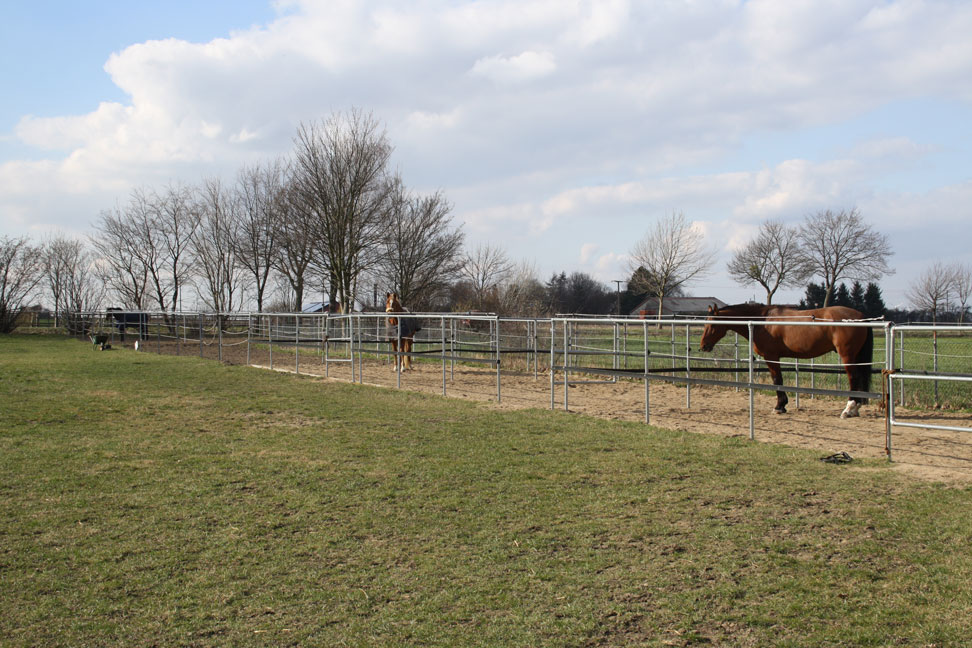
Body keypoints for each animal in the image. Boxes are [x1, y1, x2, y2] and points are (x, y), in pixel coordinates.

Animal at [700, 302, 872, 418]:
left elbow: (777, 380)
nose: (703, 346)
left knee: (853, 378)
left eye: (712, 325)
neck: (763, 320)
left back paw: (849, 409)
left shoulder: (771, 357)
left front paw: (779, 406)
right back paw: (855, 408)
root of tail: (861, 316)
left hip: (847, 355)